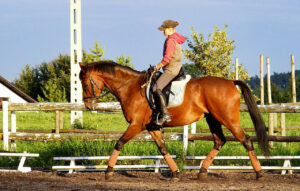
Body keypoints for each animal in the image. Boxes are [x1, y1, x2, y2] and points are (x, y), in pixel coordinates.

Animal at [78, 60, 270, 181]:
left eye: (85, 83)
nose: (88, 106)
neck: (131, 88)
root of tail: (231, 82)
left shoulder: (136, 125)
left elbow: (119, 142)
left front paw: (108, 172)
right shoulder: (152, 127)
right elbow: (162, 148)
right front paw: (176, 173)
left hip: (227, 118)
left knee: (245, 140)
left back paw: (260, 174)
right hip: (213, 119)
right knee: (219, 141)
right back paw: (202, 172)